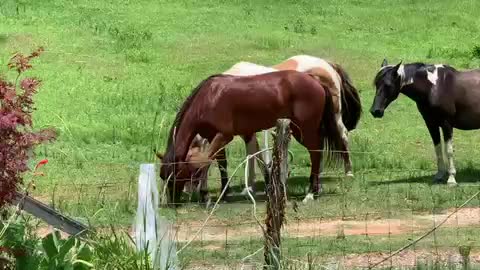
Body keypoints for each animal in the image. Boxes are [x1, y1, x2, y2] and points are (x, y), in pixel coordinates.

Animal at [159, 70, 344, 202]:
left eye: (173, 175)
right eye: (163, 176)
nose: (171, 202)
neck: (209, 97)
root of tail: (315, 81)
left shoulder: (223, 136)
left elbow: (206, 160)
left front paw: (206, 195)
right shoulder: (216, 137)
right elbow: (222, 163)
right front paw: (223, 194)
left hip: (305, 130)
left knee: (315, 154)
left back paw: (311, 193)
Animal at [186, 55, 362, 200]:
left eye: (189, 163)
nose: (188, 190)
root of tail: (328, 64)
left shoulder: (247, 132)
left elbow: (252, 155)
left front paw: (250, 188)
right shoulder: (245, 132)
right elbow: (256, 155)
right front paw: (263, 181)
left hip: (333, 117)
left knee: (342, 136)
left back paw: (348, 173)